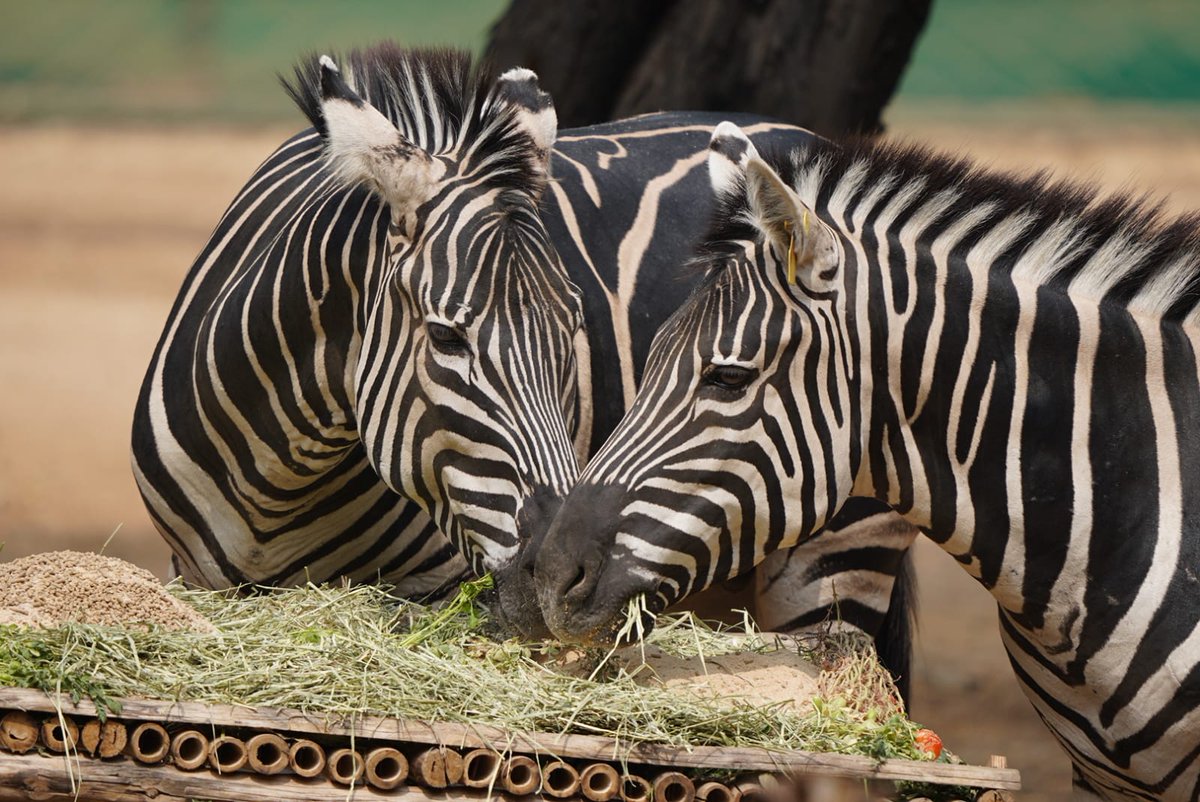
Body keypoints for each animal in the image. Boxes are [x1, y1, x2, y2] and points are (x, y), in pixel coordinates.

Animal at [130, 42, 915, 683]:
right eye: (447, 338)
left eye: (573, 330)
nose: (548, 577)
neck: (280, 484)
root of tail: (805, 137)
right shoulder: (187, 580)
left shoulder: (437, 587)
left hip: (836, 553)